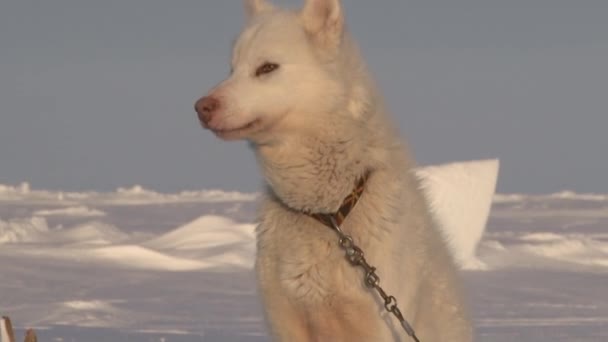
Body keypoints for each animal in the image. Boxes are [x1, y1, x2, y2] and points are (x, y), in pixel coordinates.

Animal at [197, 0, 472, 340]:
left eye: (267, 68)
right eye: (232, 69)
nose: (201, 107)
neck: (329, 214)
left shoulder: (377, 324)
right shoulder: (285, 323)